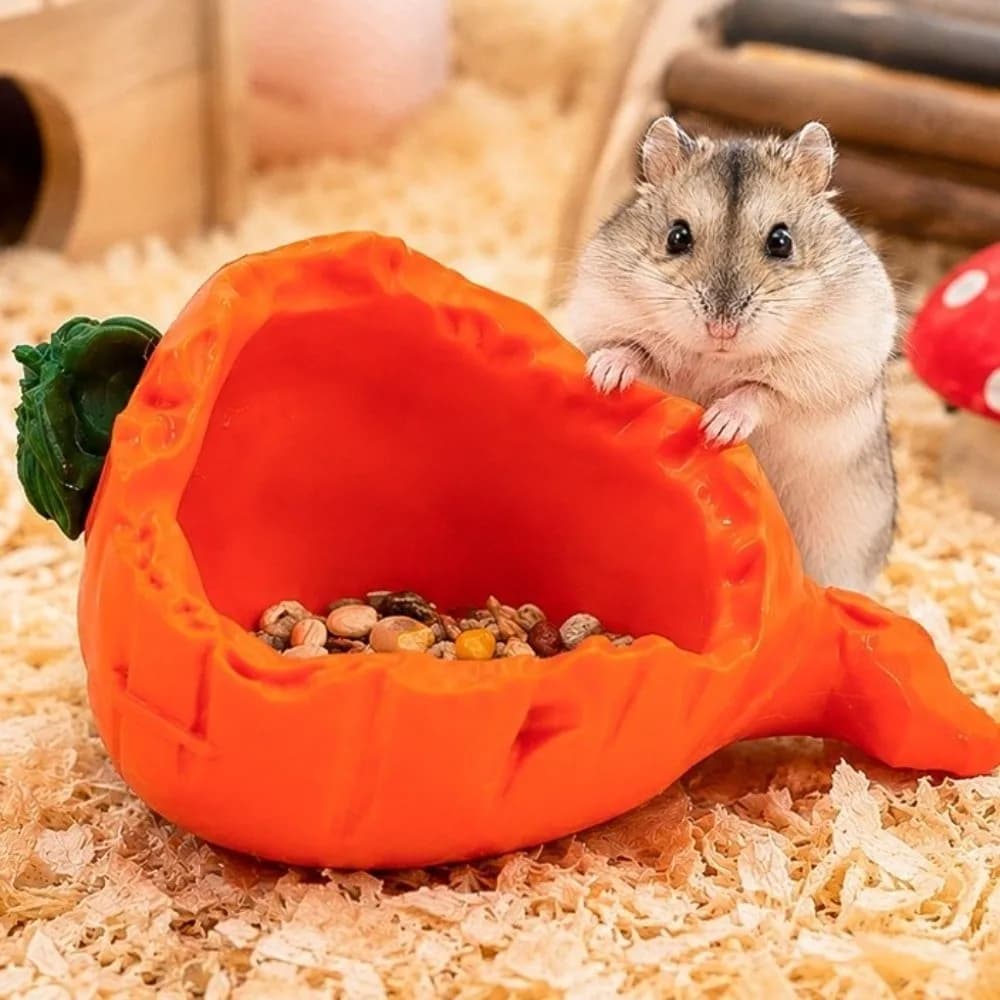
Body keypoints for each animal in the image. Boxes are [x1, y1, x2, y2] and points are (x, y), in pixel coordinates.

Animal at [563, 117, 897, 594]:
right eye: (676, 236)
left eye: (782, 241)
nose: (722, 328)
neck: (717, 358)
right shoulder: (603, 312)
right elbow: (633, 350)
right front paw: (606, 377)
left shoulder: (824, 368)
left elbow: (760, 391)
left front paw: (717, 427)